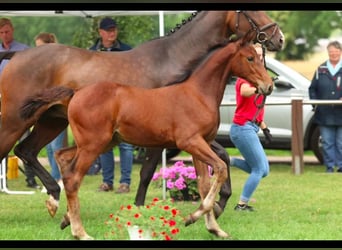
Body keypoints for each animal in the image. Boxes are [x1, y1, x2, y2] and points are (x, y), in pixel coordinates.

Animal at [0, 11, 284, 219]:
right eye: (251, 9)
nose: (279, 37)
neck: (173, 61)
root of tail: (16, 56)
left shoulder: (187, 135)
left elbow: (222, 156)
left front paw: (220, 201)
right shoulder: (164, 135)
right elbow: (148, 171)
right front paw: (138, 207)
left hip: (51, 122)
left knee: (26, 150)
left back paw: (54, 197)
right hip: (14, 122)